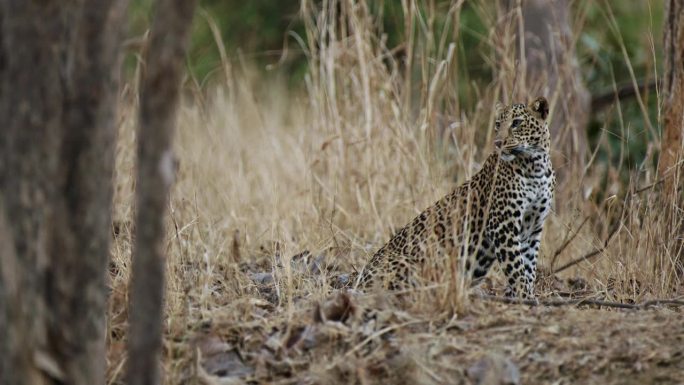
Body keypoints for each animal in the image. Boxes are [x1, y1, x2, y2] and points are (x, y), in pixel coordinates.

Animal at [356, 96, 552, 296]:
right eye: (498, 124)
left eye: (517, 123)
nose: (498, 143)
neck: (535, 167)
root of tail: (360, 279)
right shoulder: (502, 225)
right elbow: (516, 268)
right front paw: (523, 295)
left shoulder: (534, 228)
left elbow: (528, 267)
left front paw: (526, 295)